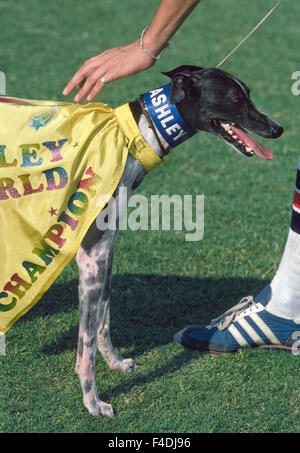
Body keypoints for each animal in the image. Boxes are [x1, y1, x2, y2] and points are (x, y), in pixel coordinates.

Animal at [74, 65, 282, 414]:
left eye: (249, 93)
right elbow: (86, 343)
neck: (134, 135)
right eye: (234, 98)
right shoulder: (90, 255)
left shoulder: (105, 250)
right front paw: (93, 403)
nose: (277, 128)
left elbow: (103, 316)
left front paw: (115, 363)